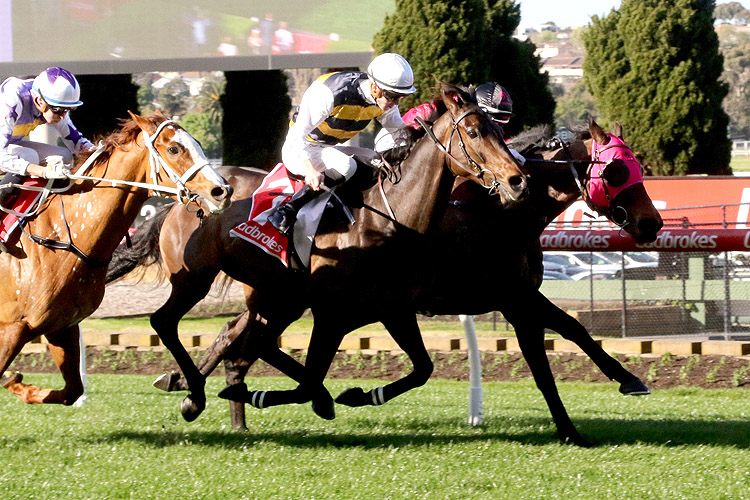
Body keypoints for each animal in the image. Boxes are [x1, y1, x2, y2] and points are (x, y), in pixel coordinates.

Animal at [0, 113, 234, 406]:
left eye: (199, 144)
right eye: (173, 149)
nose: (222, 191)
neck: (61, 236)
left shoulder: (59, 326)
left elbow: (71, 391)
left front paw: (15, 382)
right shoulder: (11, 328)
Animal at [107, 84, 528, 424]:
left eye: (499, 131)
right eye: (474, 132)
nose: (516, 180)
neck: (388, 216)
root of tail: (181, 197)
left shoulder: (393, 309)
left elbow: (422, 368)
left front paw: (359, 394)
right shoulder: (331, 312)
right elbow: (310, 379)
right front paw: (273, 395)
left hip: (275, 293)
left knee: (246, 337)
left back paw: (196, 387)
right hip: (197, 278)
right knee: (168, 322)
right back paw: (194, 391)